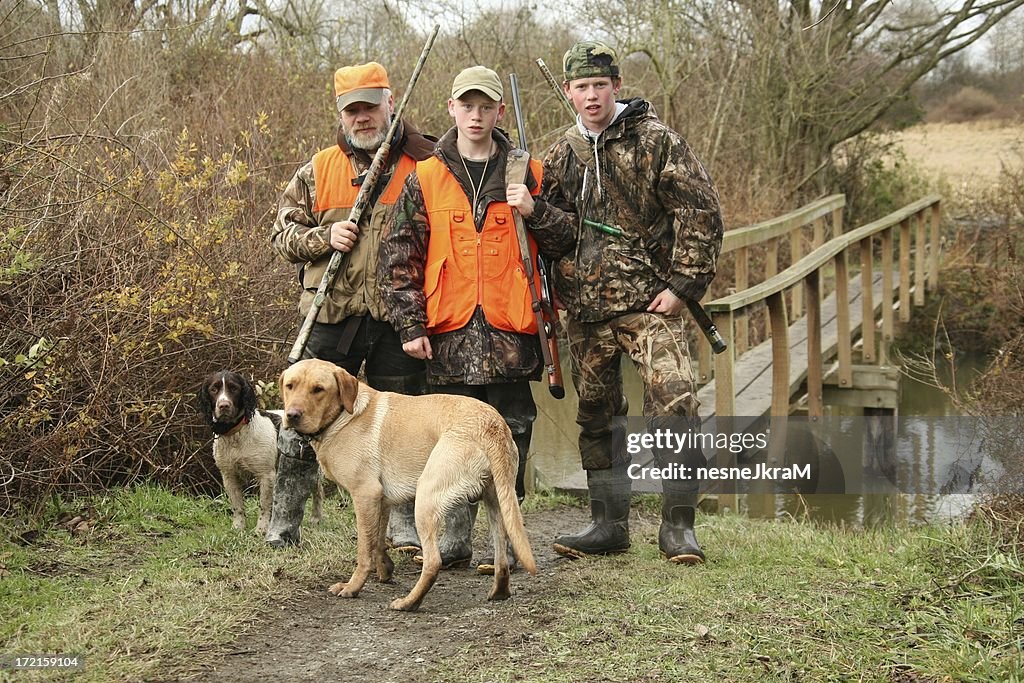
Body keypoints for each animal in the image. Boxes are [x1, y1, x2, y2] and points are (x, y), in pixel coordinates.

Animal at [280, 360, 536, 610]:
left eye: (318, 389)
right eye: (290, 386)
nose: (292, 415)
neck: (343, 416)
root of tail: (491, 425)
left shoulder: (365, 494)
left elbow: (364, 551)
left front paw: (352, 587)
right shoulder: (380, 500)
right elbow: (378, 542)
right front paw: (385, 570)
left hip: (426, 498)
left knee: (433, 562)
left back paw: (409, 602)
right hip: (497, 503)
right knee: (501, 558)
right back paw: (499, 592)